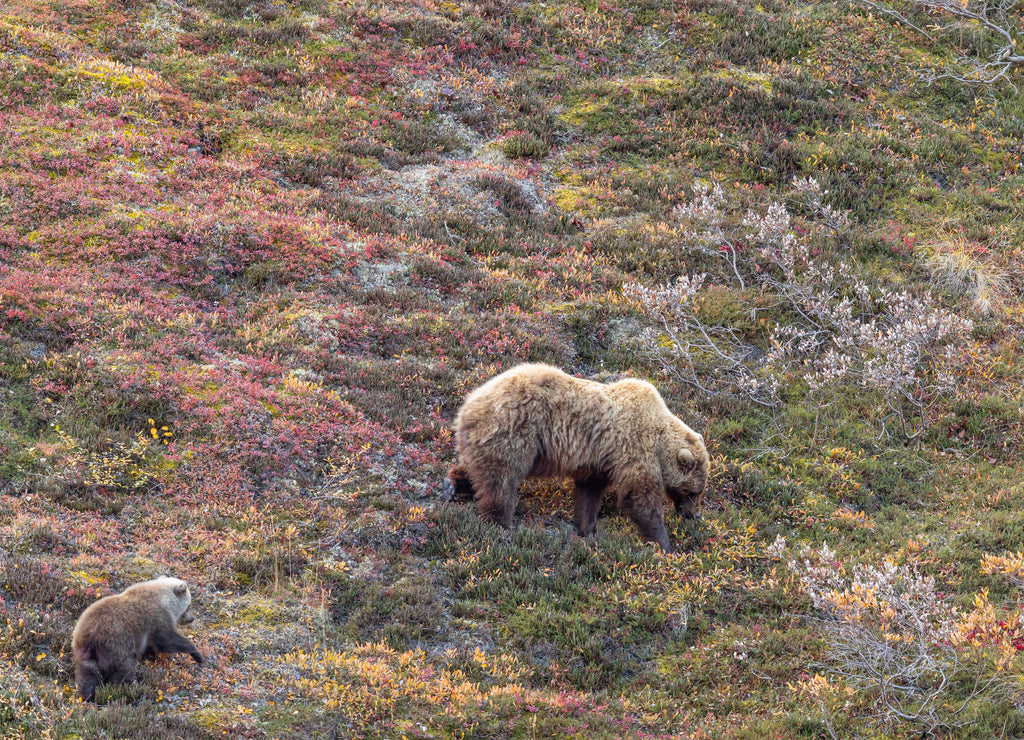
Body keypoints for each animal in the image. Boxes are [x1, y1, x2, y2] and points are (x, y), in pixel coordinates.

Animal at [72, 576, 203, 701]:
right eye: (189, 606)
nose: (191, 619)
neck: (164, 600)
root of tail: (90, 635)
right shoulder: (158, 618)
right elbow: (166, 640)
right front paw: (197, 654)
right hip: (117, 644)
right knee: (123, 669)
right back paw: (129, 687)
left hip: (85, 652)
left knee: (87, 673)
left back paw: (88, 694)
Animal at [442, 363, 709, 552]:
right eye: (692, 491)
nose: (693, 515)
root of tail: (468, 404)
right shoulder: (633, 447)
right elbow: (639, 498)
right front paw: (664, 545)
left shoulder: (599, 459)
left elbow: (589, 493)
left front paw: (586, 529)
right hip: (512, 430)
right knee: (501, 481)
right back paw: (500, 523)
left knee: (479, 469)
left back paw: (452, 485)